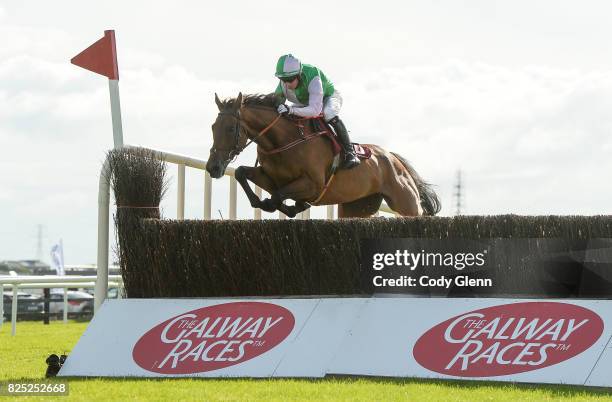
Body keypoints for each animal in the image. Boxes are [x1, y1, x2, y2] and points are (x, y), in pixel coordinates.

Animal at [206, 93, 440, 218]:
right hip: (357, 207)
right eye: (212, 127)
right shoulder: (269, 177)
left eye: (230, 129)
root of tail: (393, 158)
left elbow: (277, 196)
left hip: (407, 205)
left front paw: (290, 206)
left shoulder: (314, 185)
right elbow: (242, 174)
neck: (284, 141)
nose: (213, 167)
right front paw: (271, 203)